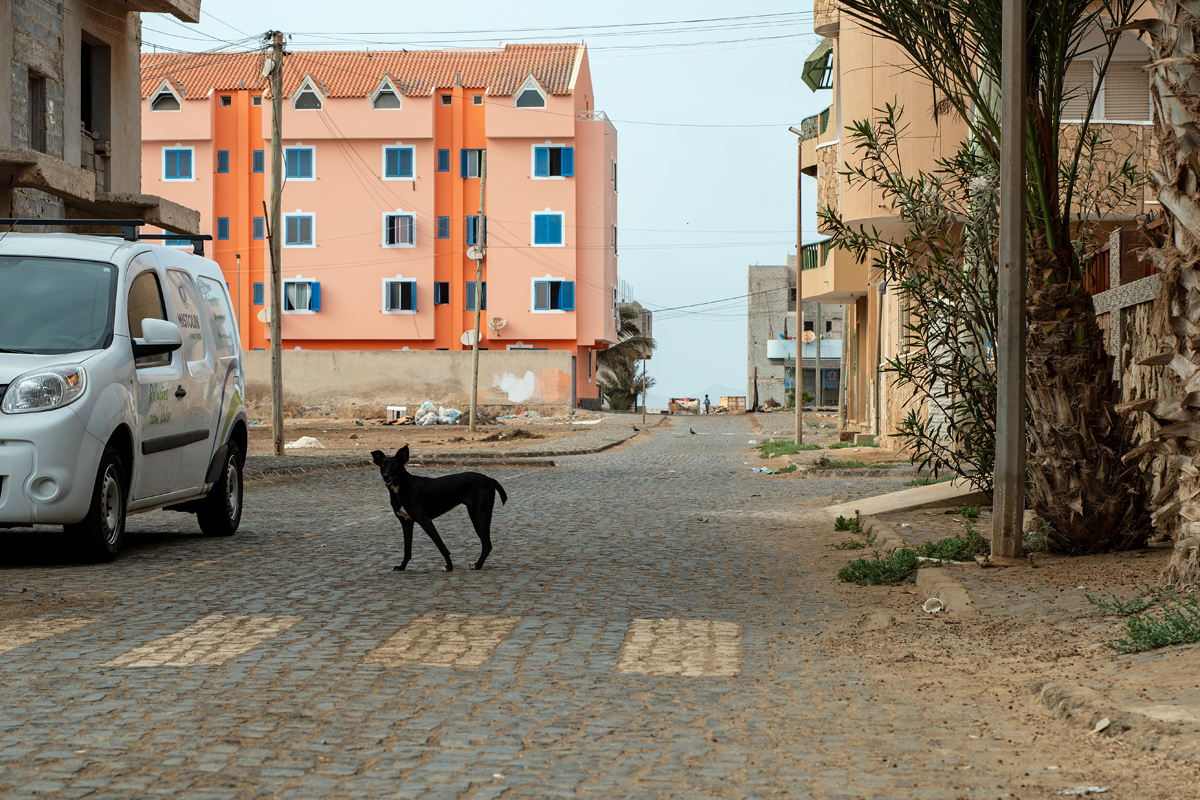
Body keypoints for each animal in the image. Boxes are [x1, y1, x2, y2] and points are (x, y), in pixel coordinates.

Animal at [371, 445, 507, 572]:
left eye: (395, 465)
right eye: (382, 465)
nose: (386, 476)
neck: (402, 488)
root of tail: (489, 479)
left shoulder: (425, 521)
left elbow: (441, 546)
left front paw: (449, 566)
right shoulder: (406, 523)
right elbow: (407, 549)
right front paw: (402, 566)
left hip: (482, 515)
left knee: (487, 543)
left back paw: (478, 565)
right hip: (474, 517)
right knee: (486, 542)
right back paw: (478, 564)